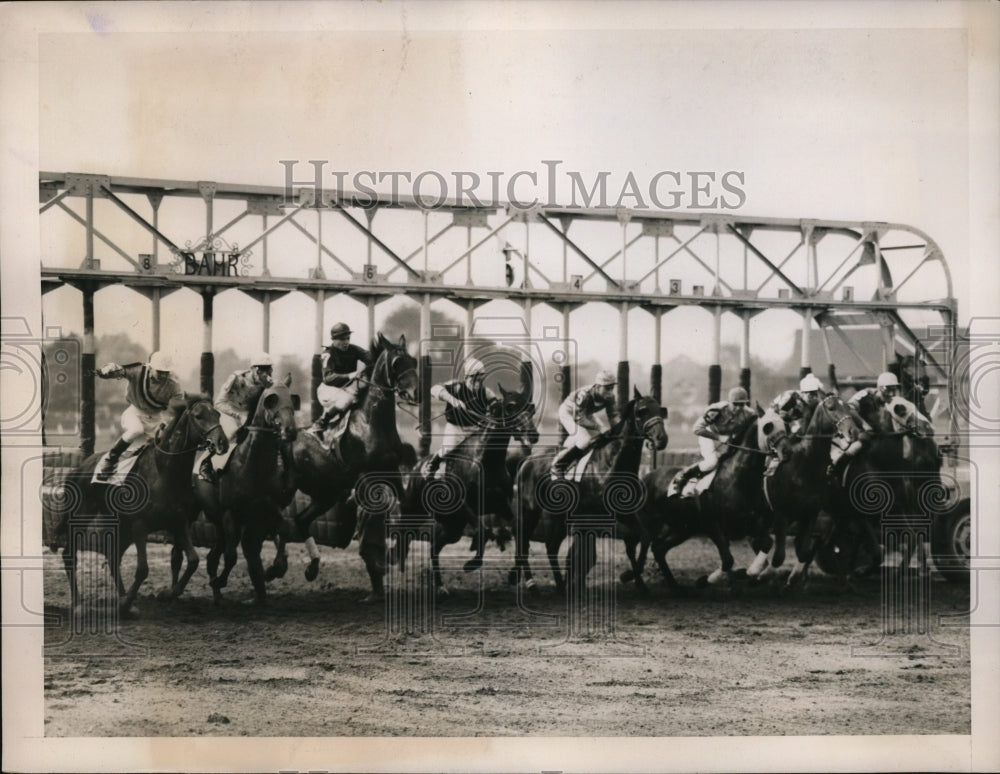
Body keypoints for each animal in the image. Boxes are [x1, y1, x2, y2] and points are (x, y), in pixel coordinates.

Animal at [60, 398, 229, 620]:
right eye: (198, 416)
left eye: (217, 414)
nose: (222, 443)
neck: (165, 472)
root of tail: (78, 468)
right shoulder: (140, 526)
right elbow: (143, 569)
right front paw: (126, 604)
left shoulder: (179, 522)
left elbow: (193, 560)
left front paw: (167, 594)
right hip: (82, 516)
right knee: (70, 554)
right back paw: (80, 605)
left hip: (121, 524)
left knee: (113, 558)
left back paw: (122, 599)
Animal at [192, 382, 298, 608]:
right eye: (271, 400)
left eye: (292, 400)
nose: (290, 430)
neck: (253, 465)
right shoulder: (230, 512)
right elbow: (231, 556)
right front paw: (220, 581)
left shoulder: (269, 510)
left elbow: (284, 531)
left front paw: (274, 569)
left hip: (220, 524)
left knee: (214, 556)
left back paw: (221, 596)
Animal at [290, 334, 418, 600]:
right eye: (397, 362)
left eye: (414, 361)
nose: (414, 393)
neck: (370, 423)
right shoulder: (367, 478)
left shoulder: (392, 472)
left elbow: (405, 510)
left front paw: (396, 553)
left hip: (325, 494)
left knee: (300, 520)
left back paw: (311, 568)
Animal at [512, 392, 668, 596]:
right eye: (642, 411)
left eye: (661, 410)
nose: (662, 439)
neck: (612, 464)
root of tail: (526, 461)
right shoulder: (590, 518)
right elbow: (584, 555)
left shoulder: (625, 515)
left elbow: (642, 538)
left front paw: (635, 580)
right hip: (529, 511)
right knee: (523, 543)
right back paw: (532, 585)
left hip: (558, 516)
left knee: (551, 546)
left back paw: (560, 586)